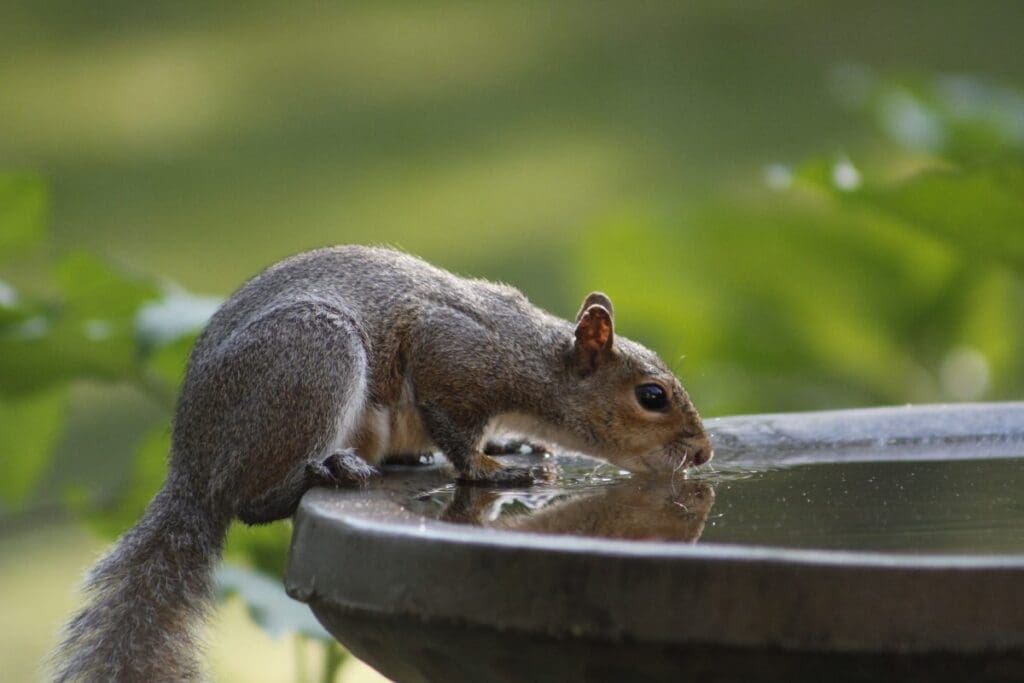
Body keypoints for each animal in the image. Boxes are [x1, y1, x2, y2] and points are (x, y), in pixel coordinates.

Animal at [53, 245, 712, 681]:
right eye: (651, 396)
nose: (704, 453)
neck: (534, 361)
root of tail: (190, 466)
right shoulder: (450, 356)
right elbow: (457, 437)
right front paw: (493, 468)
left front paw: (511, 447)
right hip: (312, 359)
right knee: (250, 500)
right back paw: (326, 472)